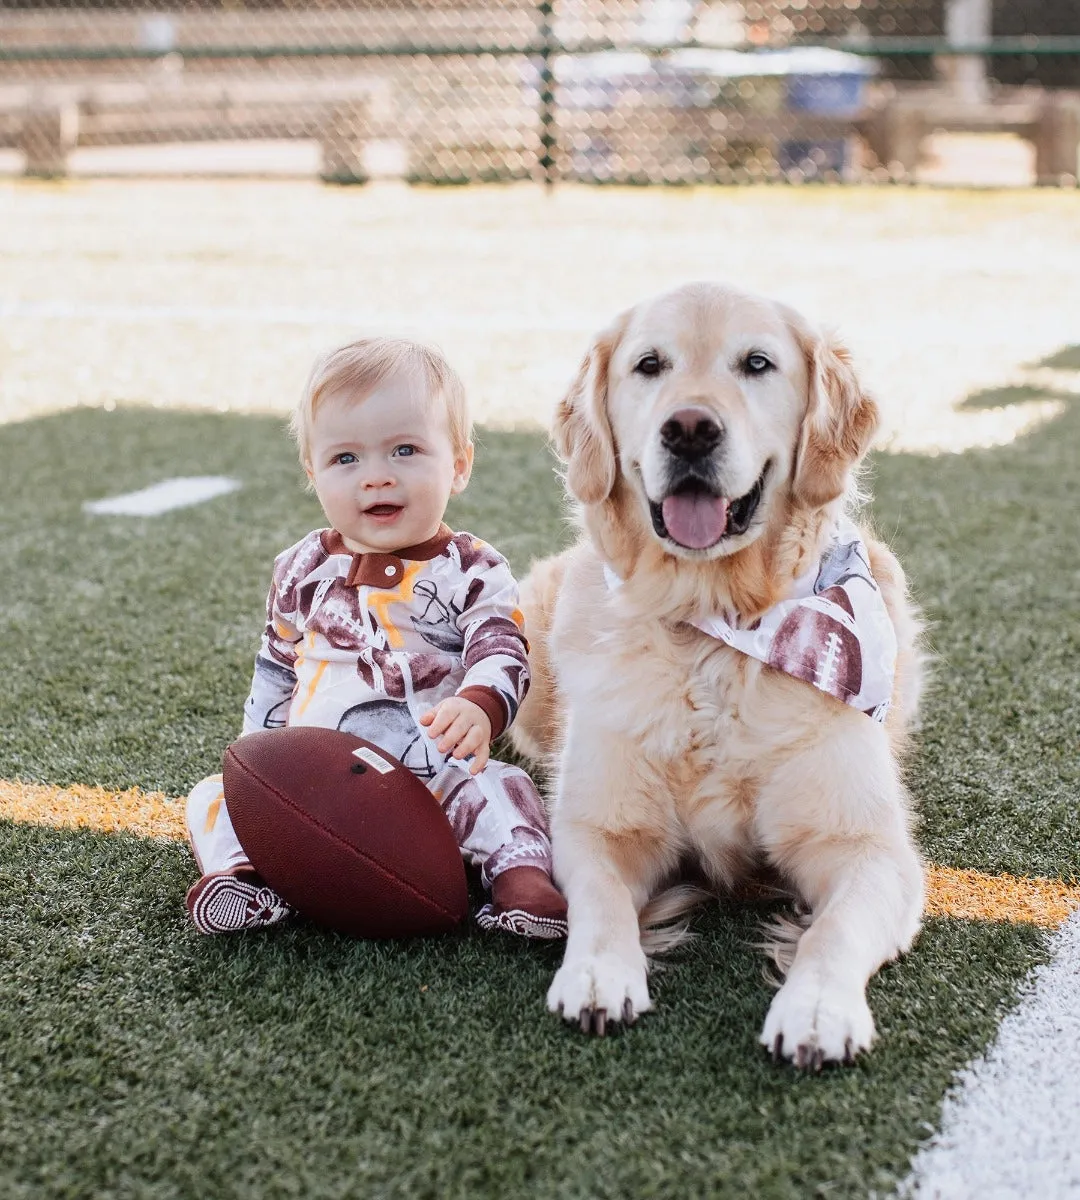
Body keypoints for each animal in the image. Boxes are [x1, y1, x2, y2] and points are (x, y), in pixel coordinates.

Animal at [511, 283, 921, 1070]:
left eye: (756, 363)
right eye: (650, 364)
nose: (690, 429)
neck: (714, 630)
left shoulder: (869, 849)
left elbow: (833, 930)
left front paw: (817, 1008)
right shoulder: (600, 824)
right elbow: (602, 900)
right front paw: (598, 974)